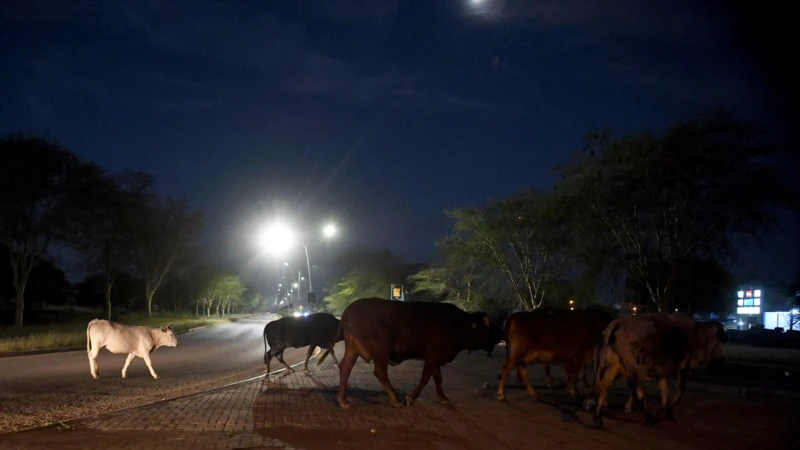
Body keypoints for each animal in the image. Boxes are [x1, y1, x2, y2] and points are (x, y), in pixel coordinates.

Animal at [318, 298, 500, 410]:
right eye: (487, 327)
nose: (500, 335)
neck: (458, 324)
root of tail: (349, 309)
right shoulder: (433, 356)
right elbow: (425, 378)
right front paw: (410, 397)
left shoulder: (435, 358)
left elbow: (438, 378)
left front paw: (442, 397)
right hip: (380, 351)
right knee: (380, 372)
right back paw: (395, 400)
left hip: (353, 348)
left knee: (346, 368)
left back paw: (343, 400)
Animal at [592, 312, 728, 428]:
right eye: (719, 341)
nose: (722, 362)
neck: (699, 335)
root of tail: (618, 323)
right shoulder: (685, 366)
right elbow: (680, 391)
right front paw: (668, 410)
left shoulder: (660, 372)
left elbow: (664, 390)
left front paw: (666, 410)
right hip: (637, 368)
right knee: (637, 392)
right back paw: (650, 419)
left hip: (614, 367)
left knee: (603, 387)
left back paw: (598, 418)